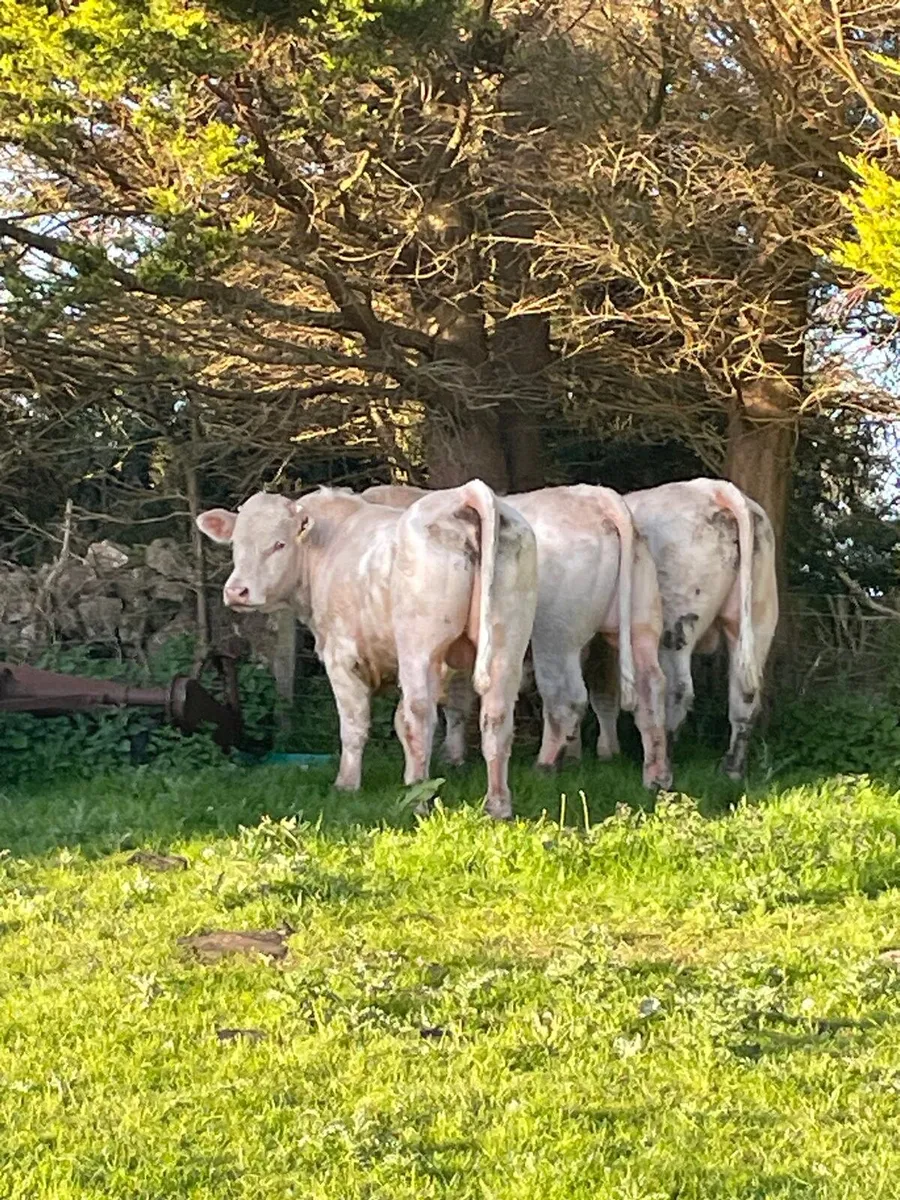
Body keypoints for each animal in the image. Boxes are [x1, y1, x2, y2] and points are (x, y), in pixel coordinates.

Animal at [197, 481, 538, 819]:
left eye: (279, 544)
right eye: (235, 545)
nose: (236, 591)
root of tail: (465, 493)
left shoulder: (342, 656)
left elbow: (355, 724)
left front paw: (347, 784)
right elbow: (407, 719)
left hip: (419, 649)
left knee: (420, 717)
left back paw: (418, 800)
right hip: (506, 646)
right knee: (495, 718)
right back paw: (497, 805)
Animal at [362, 483, 672, 791]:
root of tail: (597, 496)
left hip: (556, 634)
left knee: (566, 697)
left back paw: (544, 766)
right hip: (640, 620)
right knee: (650, 686)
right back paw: (656, 776)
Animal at [584, 479, 779, 778]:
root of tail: (717, 489)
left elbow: (601, 694)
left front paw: (605, 752)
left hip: (675, 623)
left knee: (677, 688)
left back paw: (663, 754)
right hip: (759, 617)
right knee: (744, 695)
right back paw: (731, 768)